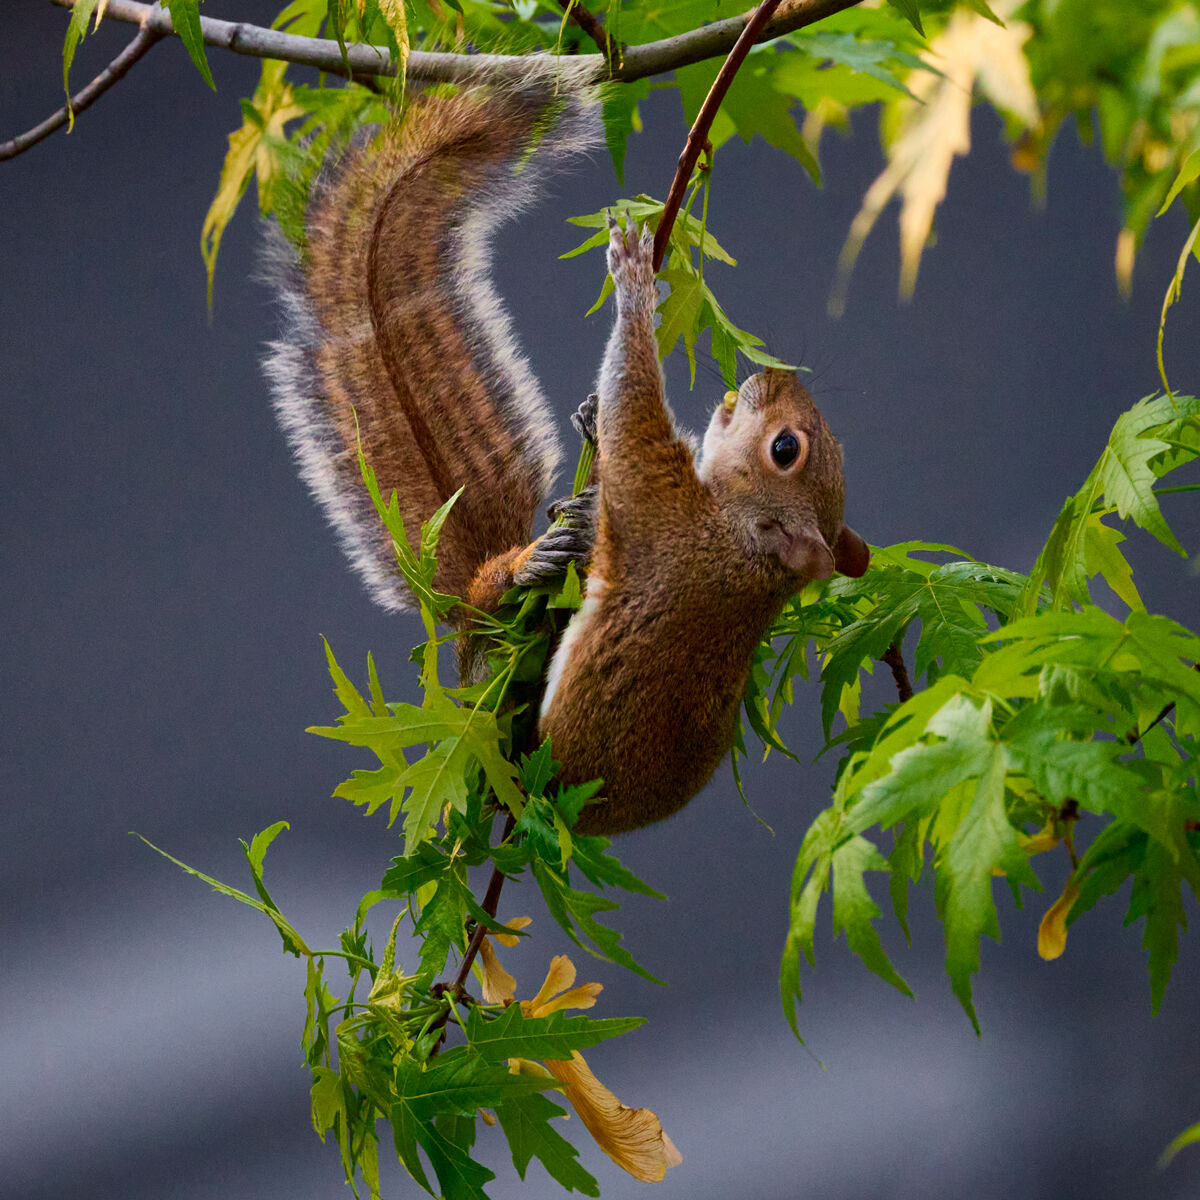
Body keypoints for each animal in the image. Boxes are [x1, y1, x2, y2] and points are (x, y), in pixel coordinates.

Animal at [261, 71, 869, 837]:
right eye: (805, 441)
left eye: (785, 449)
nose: (774, 375)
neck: (740, 543)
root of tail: (540, 805)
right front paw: (589, 424)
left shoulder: (658, 503)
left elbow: (632, 397)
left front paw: (634, 283)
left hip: (490, 704)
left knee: (487, 643)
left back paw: (524, 568)